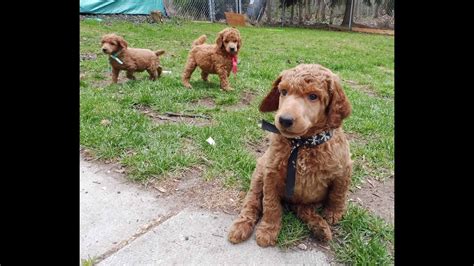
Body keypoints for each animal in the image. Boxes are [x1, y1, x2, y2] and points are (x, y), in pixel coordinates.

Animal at [228, 63, 354, 246]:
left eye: (313, 96)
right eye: (284, 92)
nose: (284, 120)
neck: (302, 144)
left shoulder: (344, 168)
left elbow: (338, 192)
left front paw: (333, 213)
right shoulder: (271, 174)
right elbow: (271, 205)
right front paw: (268, 230)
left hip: (306, 199)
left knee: (303, 209)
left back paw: (319, 228)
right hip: (259, 174)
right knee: (252, 201)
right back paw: (241, 225)